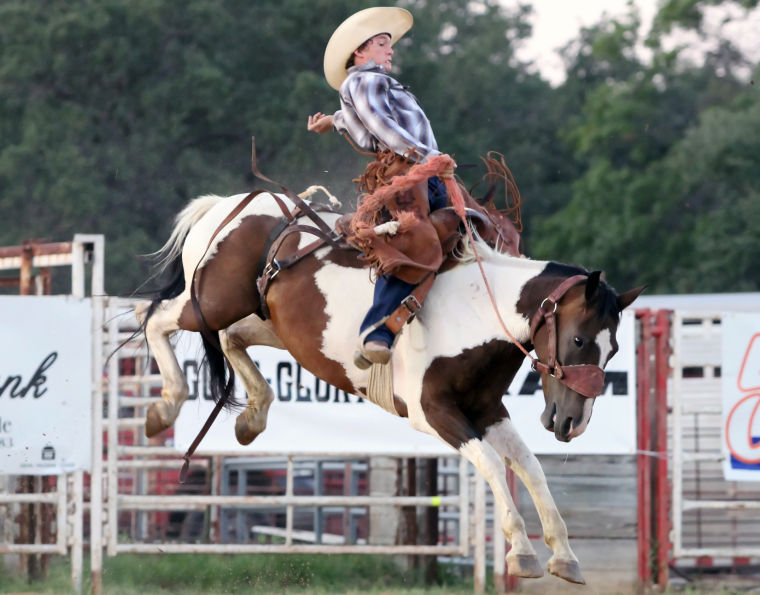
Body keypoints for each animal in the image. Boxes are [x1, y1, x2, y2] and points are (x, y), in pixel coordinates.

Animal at [135, 184, 640, 584]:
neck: (476, 308)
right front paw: (522, 553)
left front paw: (565, 556)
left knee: (230, 338)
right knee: (155, 318)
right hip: (209, 303)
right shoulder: (433, 411)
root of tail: (225, 207)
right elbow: (495, 466)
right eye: (578, 339)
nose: (572, 421)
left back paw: (252, 417)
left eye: (614, 349)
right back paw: (164, 407)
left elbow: (530, 467)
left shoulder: (487, 409)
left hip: (264, 319)